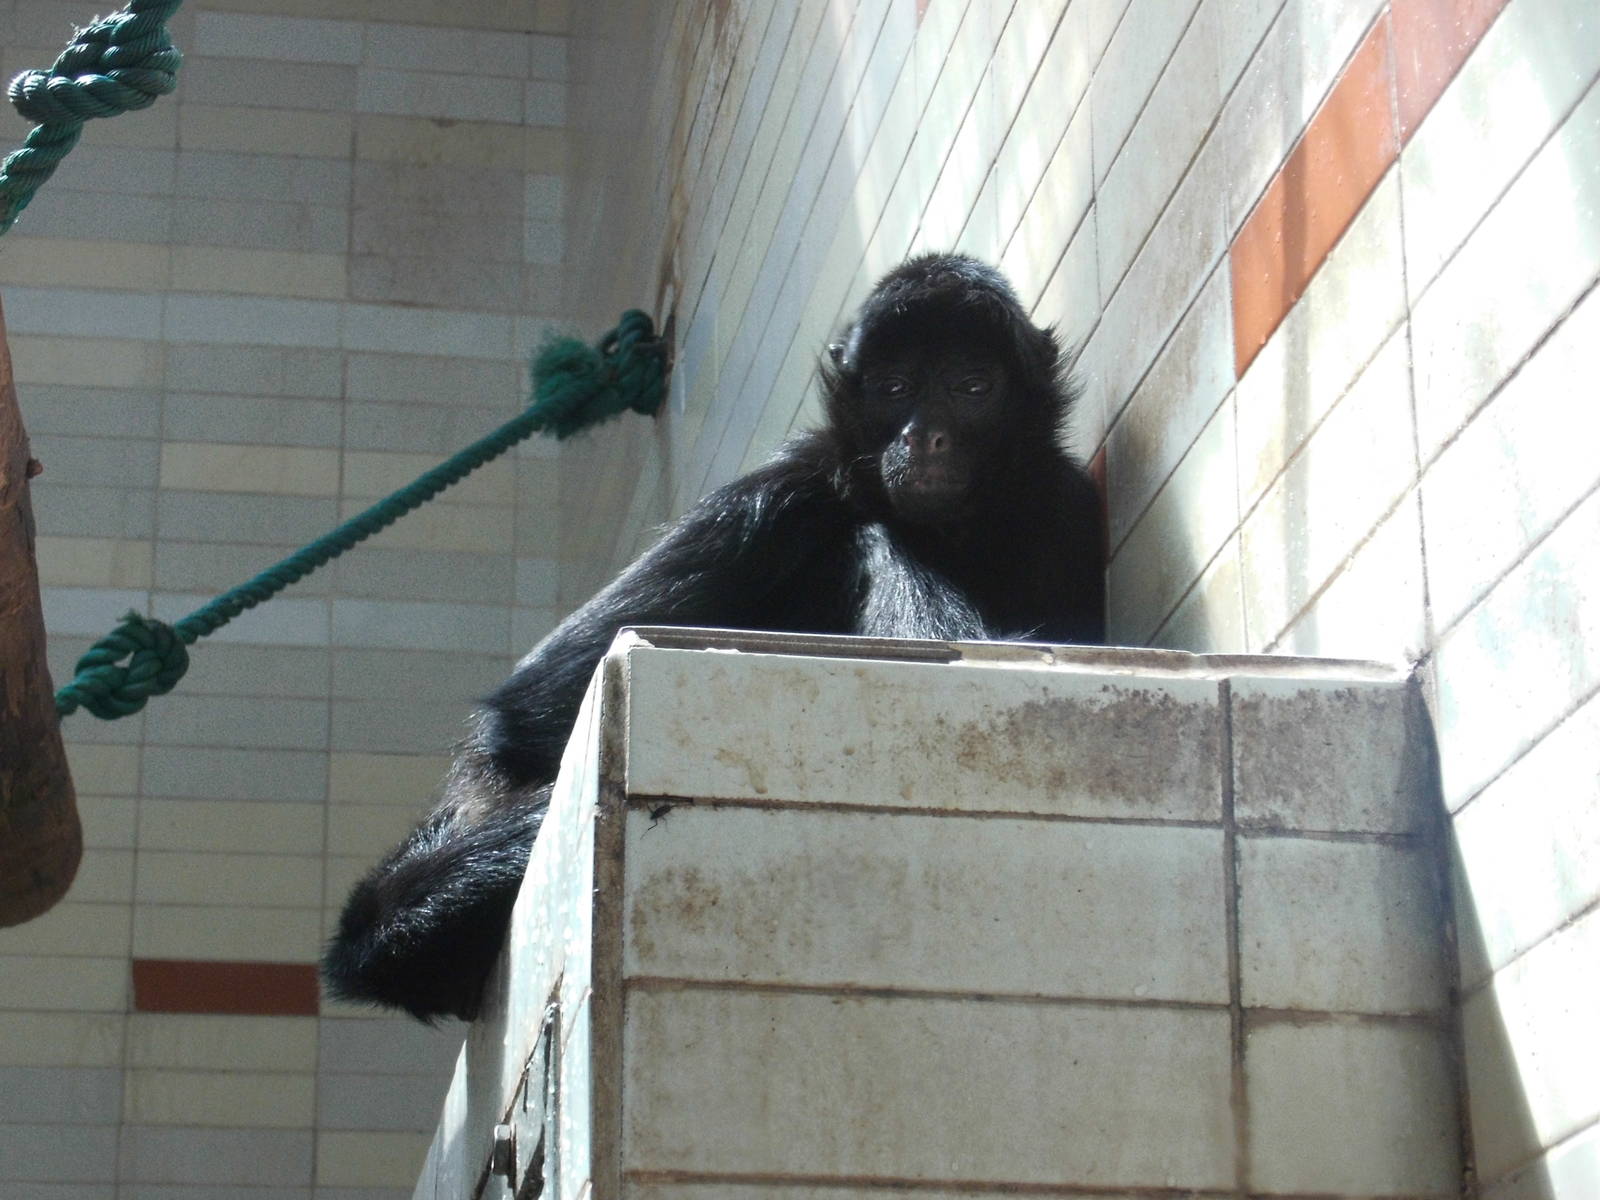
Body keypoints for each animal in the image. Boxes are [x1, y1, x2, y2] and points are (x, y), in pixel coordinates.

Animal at [322, 253, 1105, 1021]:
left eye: (972, 387)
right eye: (896, 387)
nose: (923, 435)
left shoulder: (1064, 501)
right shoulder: (781, 491)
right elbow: (528, 714)